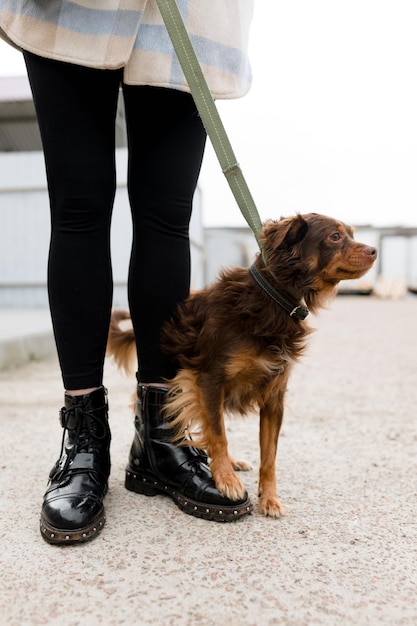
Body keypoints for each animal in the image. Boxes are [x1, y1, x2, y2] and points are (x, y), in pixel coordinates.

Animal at [107, 214, 376, 516]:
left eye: (352, 233)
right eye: (335, 236)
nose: (374, 251)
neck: (273, 300)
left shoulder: (273, 398)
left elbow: (269, 455)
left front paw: (269, 498)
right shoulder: (209, 380)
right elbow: (217, 433)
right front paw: (225, 479)